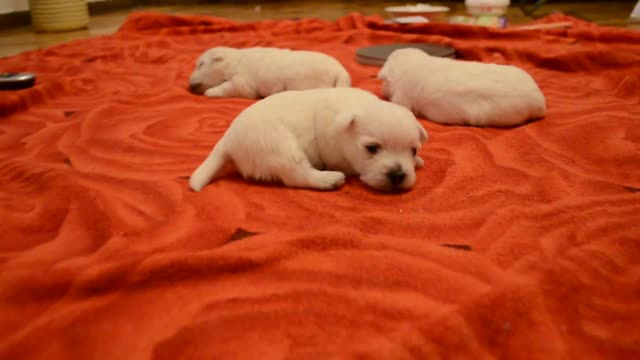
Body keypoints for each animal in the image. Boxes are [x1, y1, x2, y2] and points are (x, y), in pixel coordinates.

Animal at [188, 47, 352, 100]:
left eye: (201, 64)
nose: (190, 86)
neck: (234, 61)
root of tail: (340, 71)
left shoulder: (243, 82)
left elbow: (230, 87)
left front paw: (210, 92)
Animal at [189, 87, 430, 193]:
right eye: (372, 148)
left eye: (413, 150)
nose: (398, 175)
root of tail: (228, 140)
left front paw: (418, 162)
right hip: (278, 146)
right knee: (296, 175)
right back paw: (329, 179)